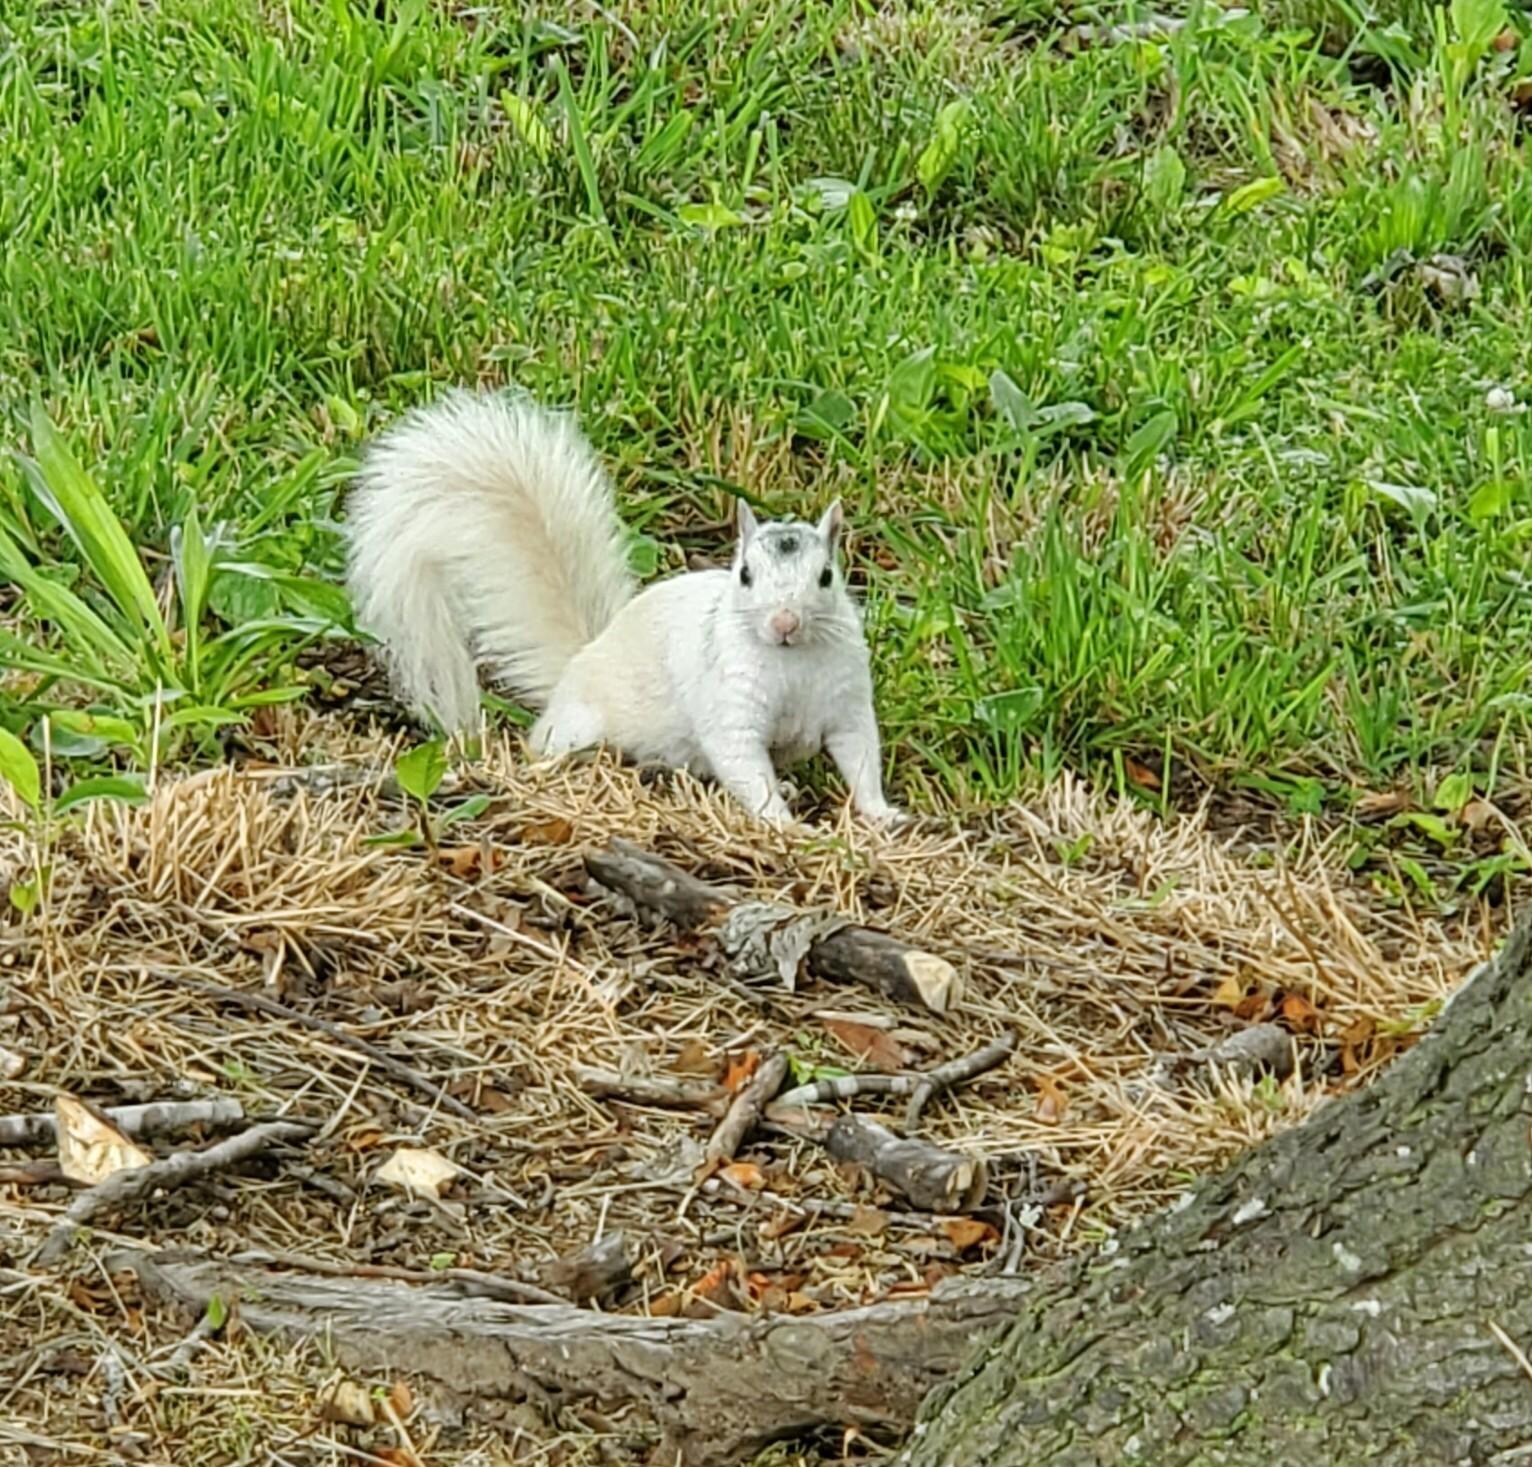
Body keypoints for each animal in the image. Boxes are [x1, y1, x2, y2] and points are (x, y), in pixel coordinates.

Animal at [343, 389, 904, 829]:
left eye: (826, 576)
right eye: (745, 575)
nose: (785, 622)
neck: (793, 661)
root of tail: (580, 659)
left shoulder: (847, 701)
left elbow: (861, 757)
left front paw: (882, 814)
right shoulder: (730, 702)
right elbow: (743, 761)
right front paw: (785, 824)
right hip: (580, 724)